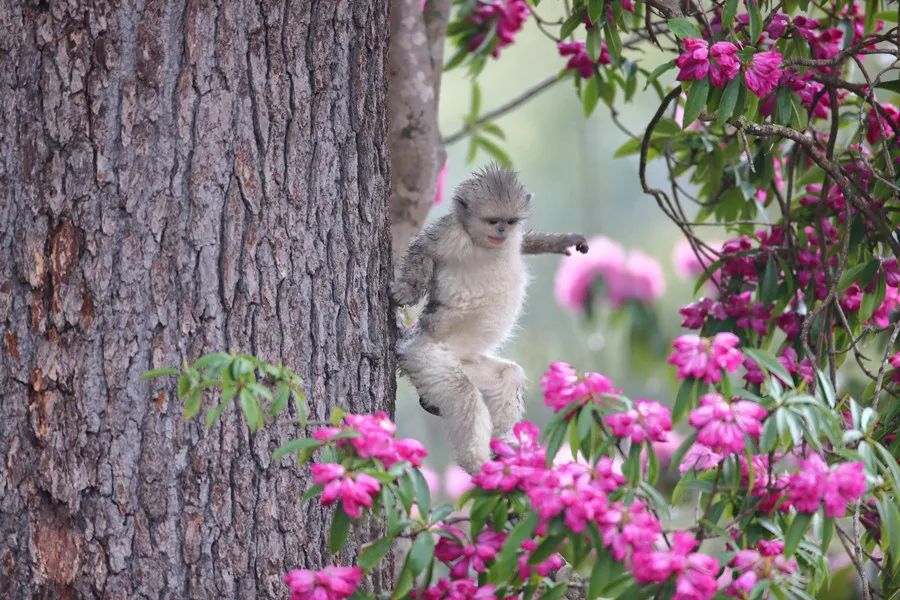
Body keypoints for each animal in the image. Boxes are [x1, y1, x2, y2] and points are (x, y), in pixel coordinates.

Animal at [390, 163, 588, 474]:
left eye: (510, 220)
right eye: (492, 220)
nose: (502, 231)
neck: (483, 245)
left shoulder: (513, 238)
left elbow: (525, 242)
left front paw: (561, 241)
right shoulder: (448, 234)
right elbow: (422, 250)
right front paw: (406, 290)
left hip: (468, 365)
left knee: (508, 377)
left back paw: (501, 444)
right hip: (426, 358)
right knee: (463, 395)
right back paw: (477, 462)